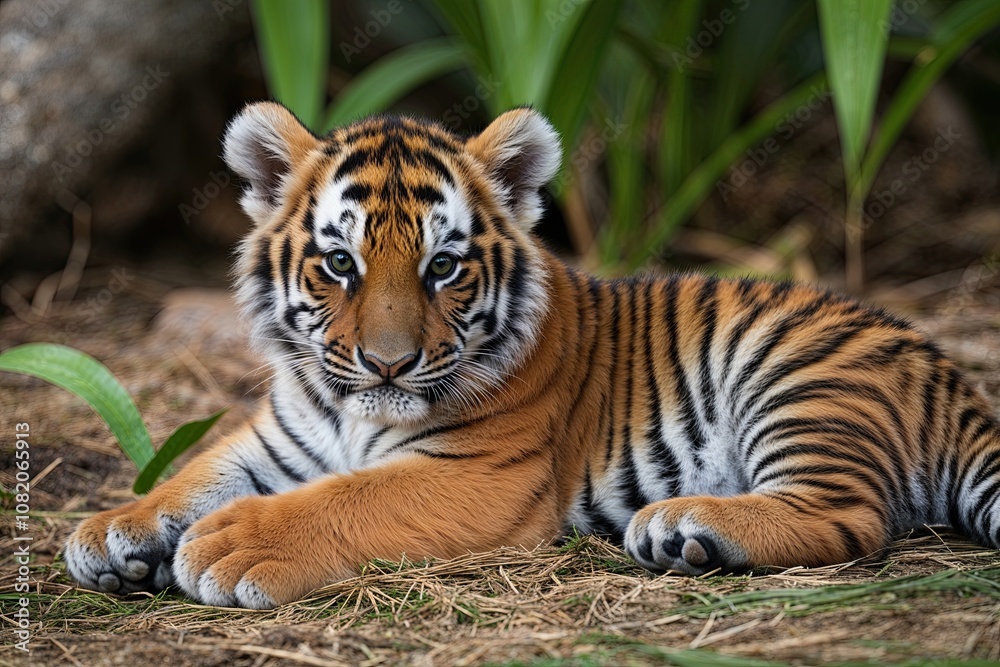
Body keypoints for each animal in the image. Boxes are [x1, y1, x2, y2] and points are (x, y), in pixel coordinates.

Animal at [64, 103, 1000, 609]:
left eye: (443, 266)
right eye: (340, 263)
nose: (389, 364)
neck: (347, 408)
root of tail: (952, 375)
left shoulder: (481, 474)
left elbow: (349, 497)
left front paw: (230, 546)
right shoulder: (279, 436)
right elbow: (199, 471)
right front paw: (112, 527)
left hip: (791, 374)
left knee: (853, 516)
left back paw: (682, 522)